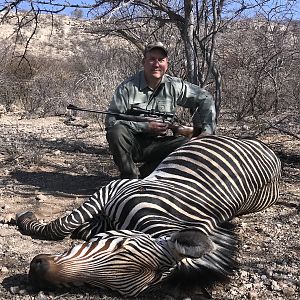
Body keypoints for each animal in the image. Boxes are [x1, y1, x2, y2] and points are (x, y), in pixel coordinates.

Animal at [15, 135, 282, 298]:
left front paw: (25, 218)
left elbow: (66, 226)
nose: (37, 271)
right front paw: (24, 216)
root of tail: (273, 155)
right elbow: (67, 225)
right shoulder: (114, 189)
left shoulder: (112, 193)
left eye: (102, 286)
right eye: (119, 246)